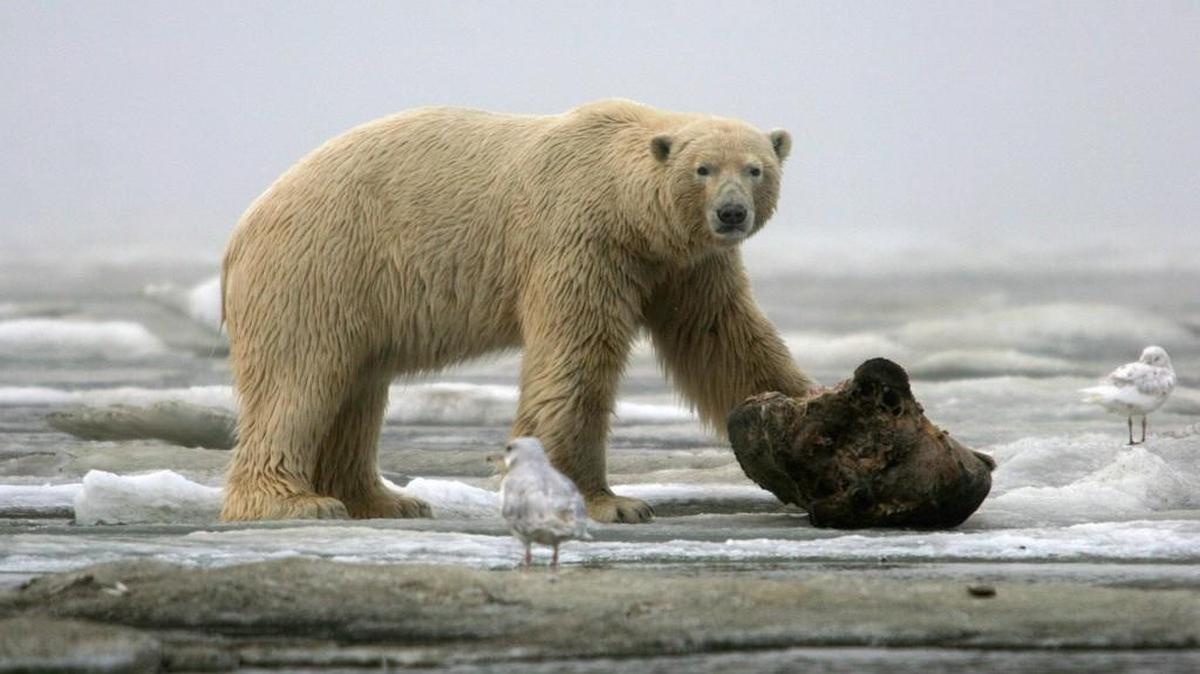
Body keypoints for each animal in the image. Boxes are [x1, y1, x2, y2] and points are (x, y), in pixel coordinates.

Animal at [219, 99, 814, 524]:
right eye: (702, 169)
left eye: (756, 169)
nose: (731, 213)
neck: (625, 207)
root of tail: (244, 225)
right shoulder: (581, 239)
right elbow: (577, 359)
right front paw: (610, 502)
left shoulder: (684, 264)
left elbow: (724, 337)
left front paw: (805, 408)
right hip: (320, 268)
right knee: (300, 380)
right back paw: (295, 501)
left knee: (356, 390)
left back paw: (388, 500)